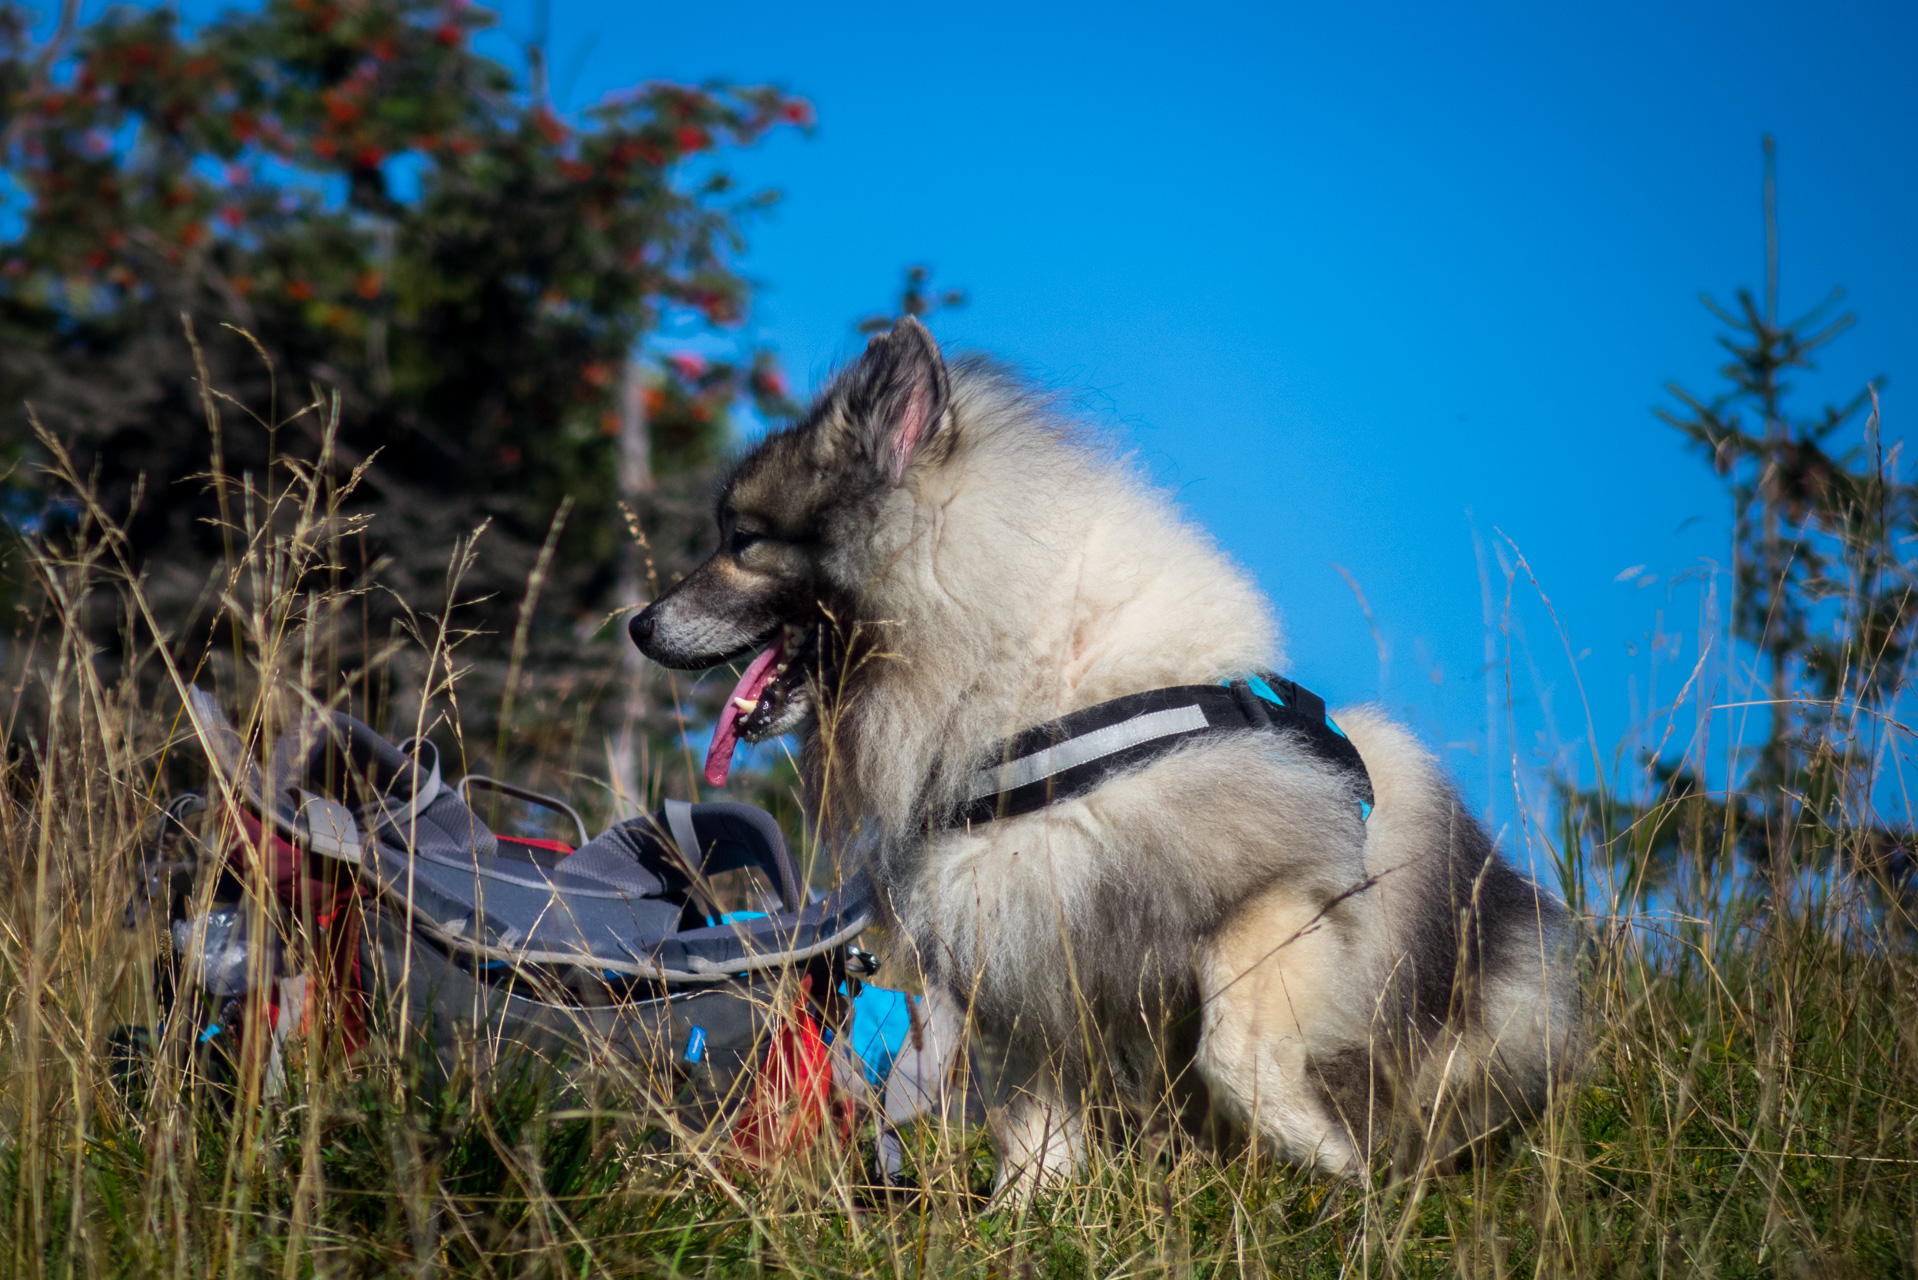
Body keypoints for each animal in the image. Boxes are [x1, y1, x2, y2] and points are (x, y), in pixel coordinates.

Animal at [636, 314, 1580, 1197]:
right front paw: (1026, 1215)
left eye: (743, 542)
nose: (640, 626)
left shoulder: (1281, 893)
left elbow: (1235, 1052)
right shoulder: (1014, 961)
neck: (1039, 703)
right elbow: (1035, 1131)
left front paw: (1331, 1160)